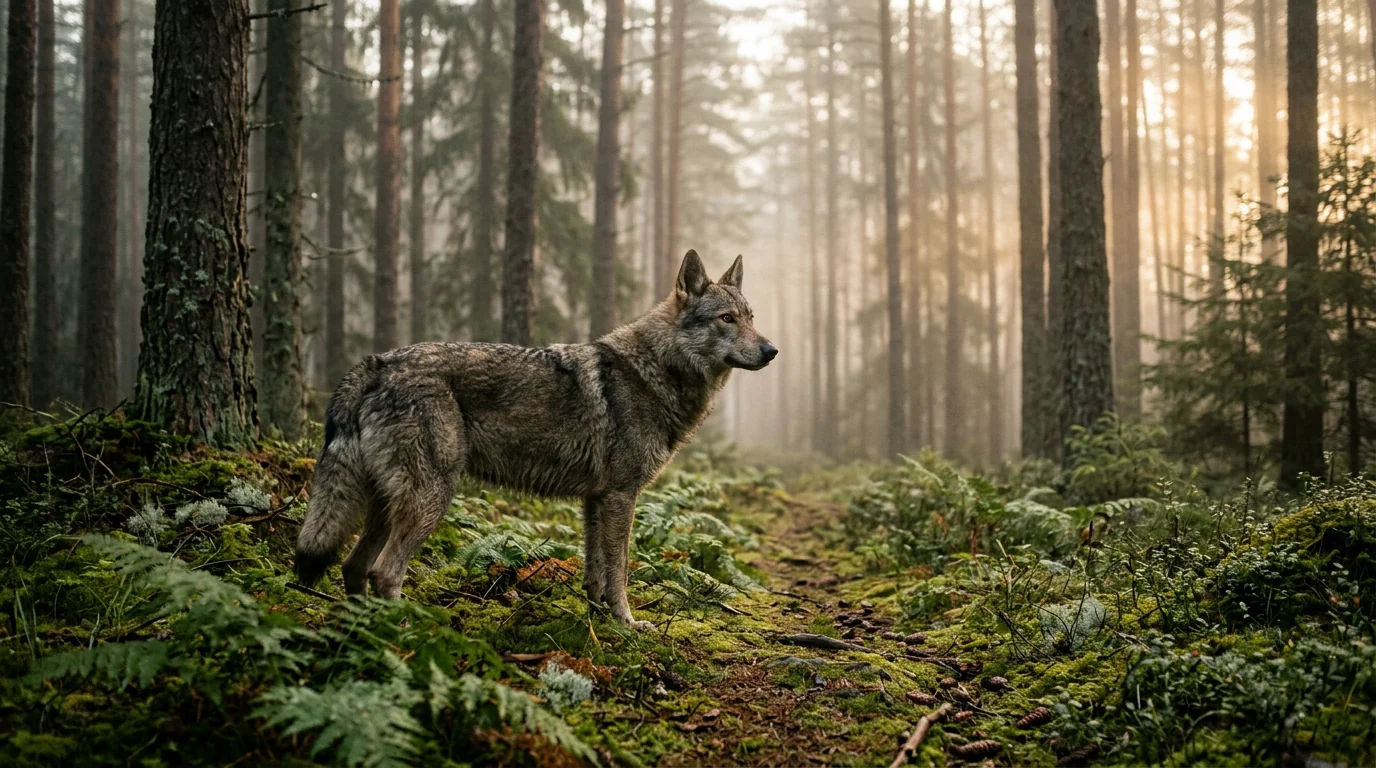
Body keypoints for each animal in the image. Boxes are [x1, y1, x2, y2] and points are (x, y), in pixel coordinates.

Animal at [294, 250, 776, 628]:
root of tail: (377, 362)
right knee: (384, 573)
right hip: (430, 499)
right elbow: (620, 570)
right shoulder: (622, 496)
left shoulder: (595, 499)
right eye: (727, 319)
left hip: (385, 504)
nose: (772, 351)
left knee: (354, 567)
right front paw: (628, 623)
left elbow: (595, 571)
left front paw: (596, 618)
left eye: (752, 318)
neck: (655, 372)